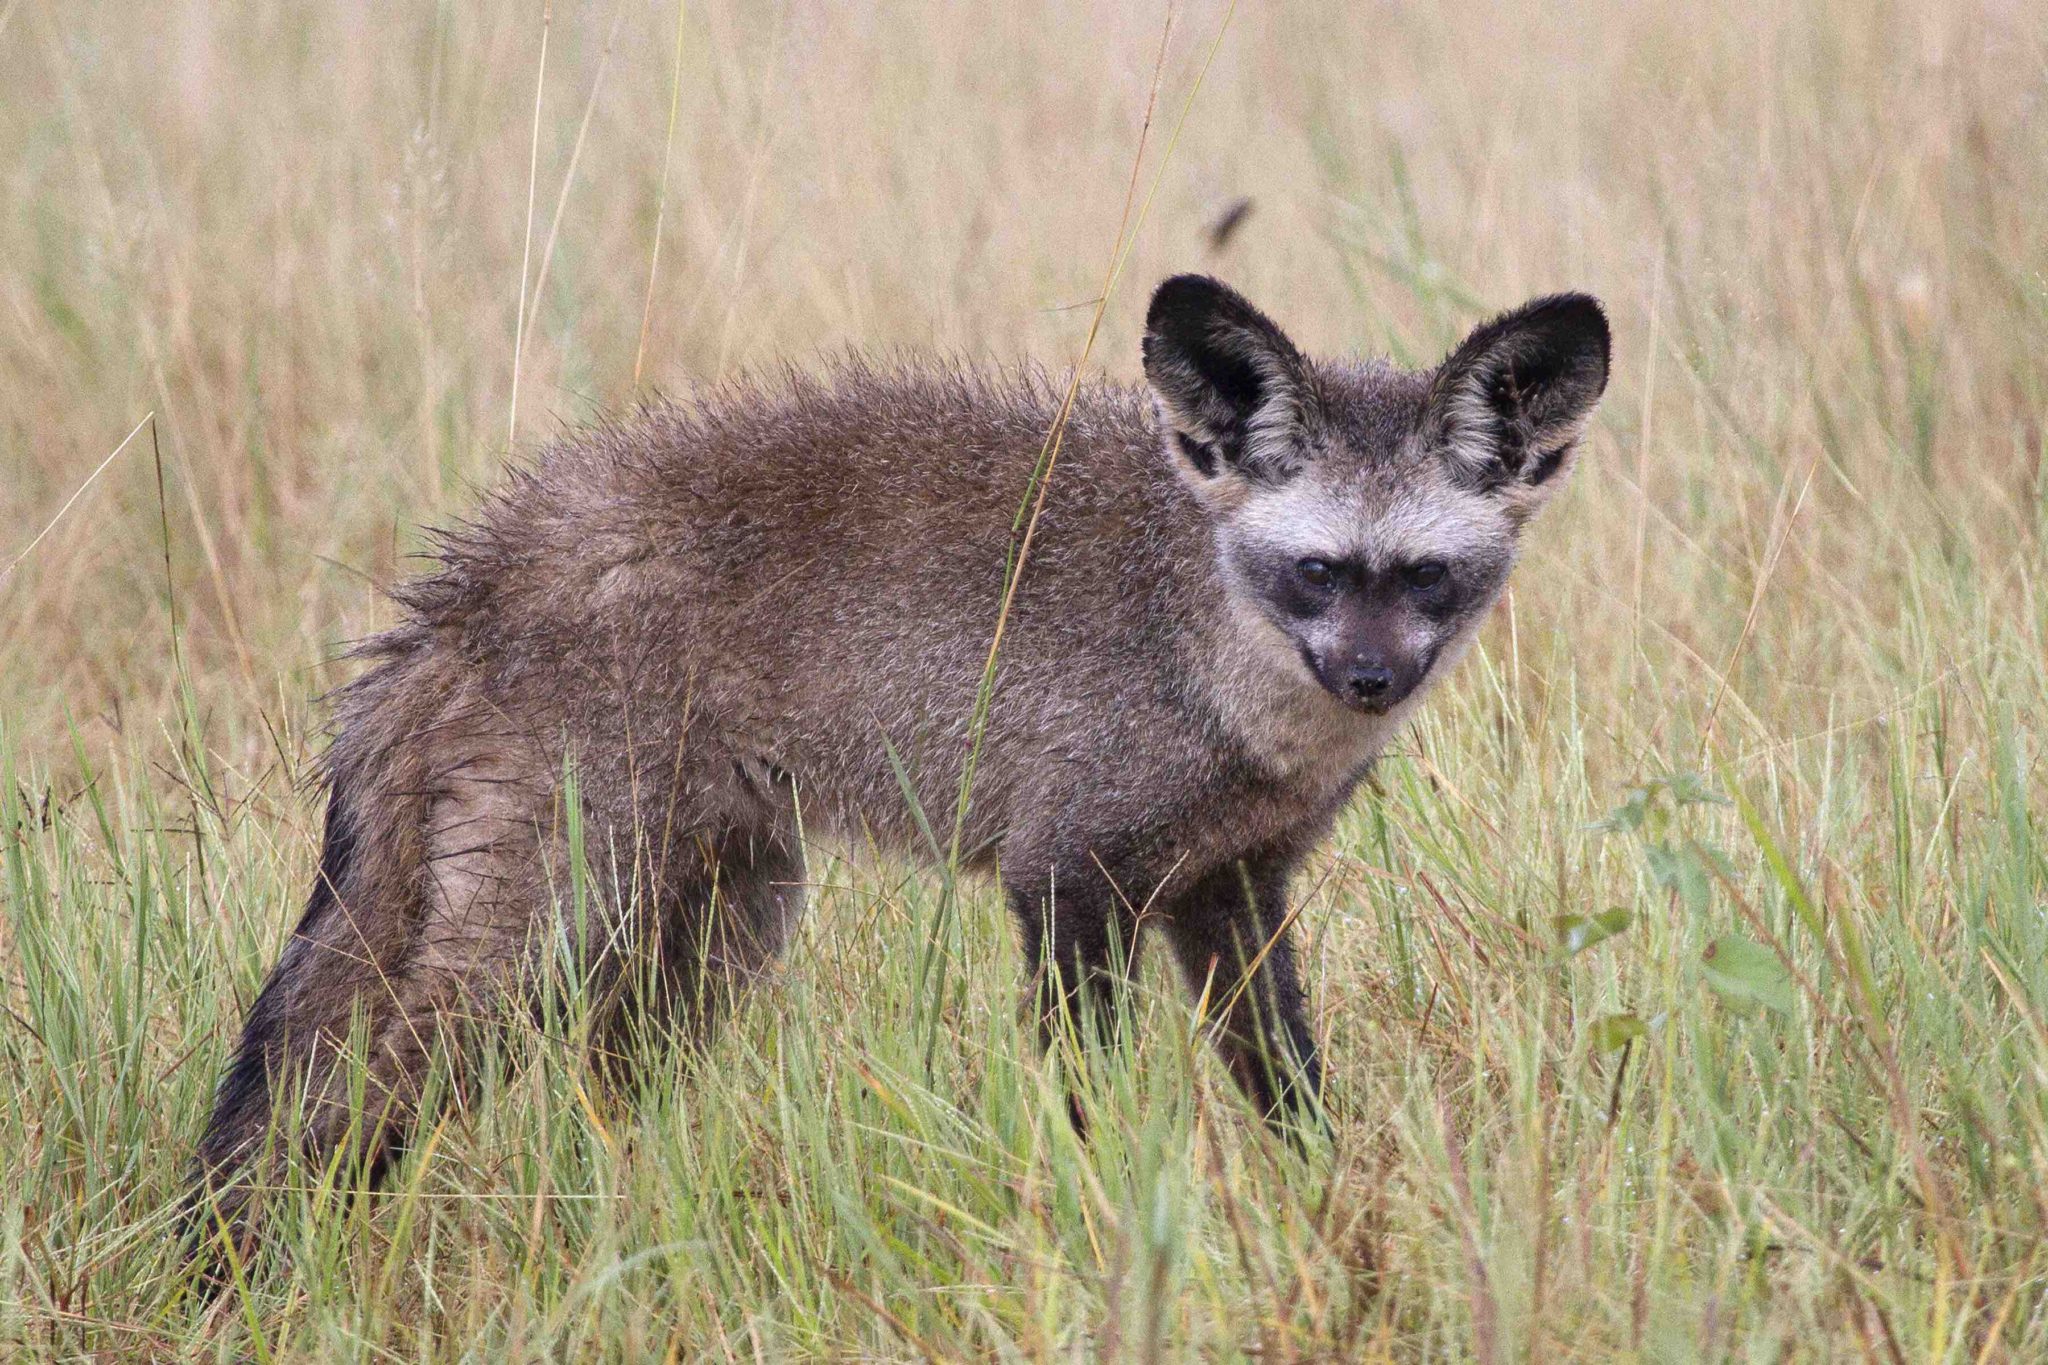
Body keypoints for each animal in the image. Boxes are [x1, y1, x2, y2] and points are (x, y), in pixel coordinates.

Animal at [184, 270, 1605, 1260]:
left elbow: (1294, 1100)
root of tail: (460, 583)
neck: (1201, 651)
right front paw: (1089, 1228)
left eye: (1422, 578)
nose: (1369, 682)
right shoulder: (1065, 879)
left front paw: (1328, 1219)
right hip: (533, 947)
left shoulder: (1230, 891)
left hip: (708, 943)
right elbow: (1079, 1109)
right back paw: (252, 1276)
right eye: (1315, 572)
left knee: (592, 1113)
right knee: (332, 1105)